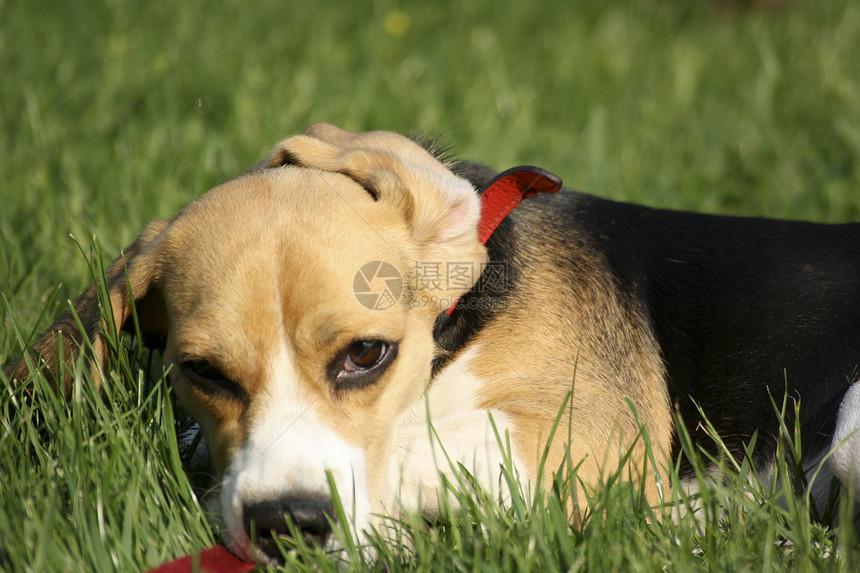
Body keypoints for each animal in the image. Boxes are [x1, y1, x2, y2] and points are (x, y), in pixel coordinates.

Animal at [5, 123, 860, 560]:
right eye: (203, 371)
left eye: (366, 355)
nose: (286, 524)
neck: (456, 336)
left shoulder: (588, 444)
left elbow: (420, 448)